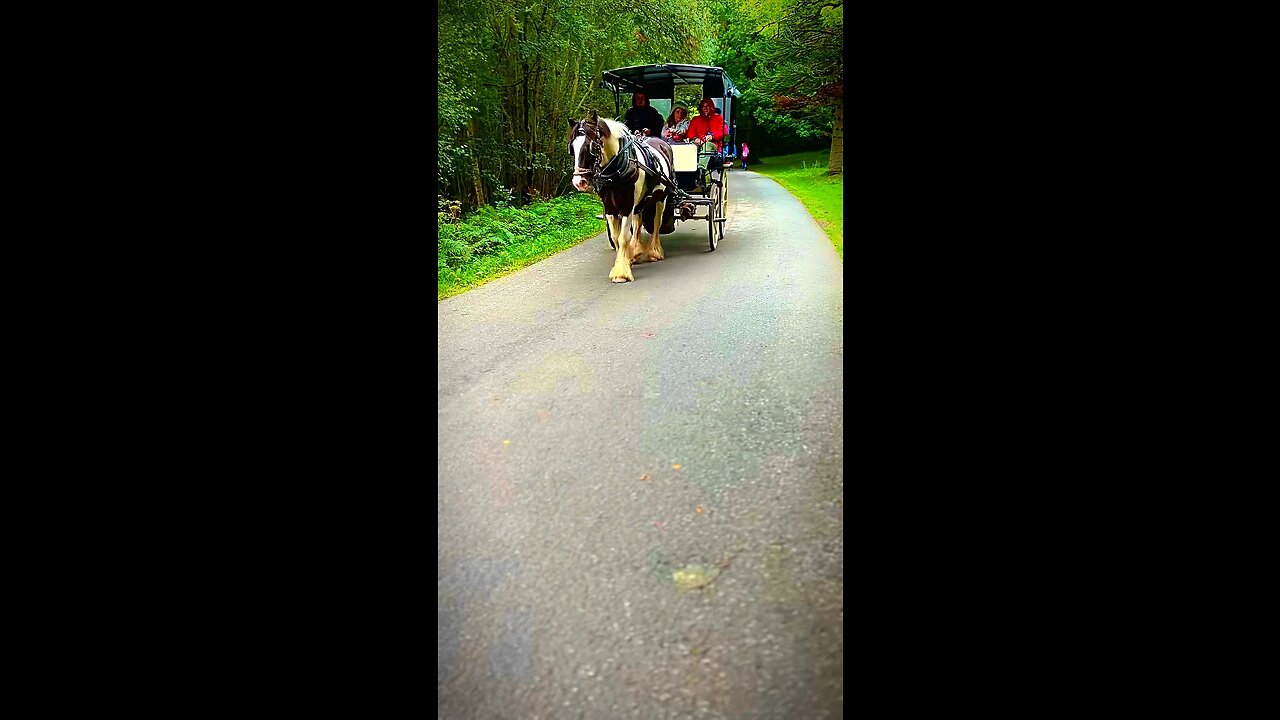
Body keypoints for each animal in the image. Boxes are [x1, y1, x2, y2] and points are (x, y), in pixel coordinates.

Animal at [565, 110, 675, 281]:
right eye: (572, 148)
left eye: (591, 147)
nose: (579, 182)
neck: (615, 170)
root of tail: (661, 141)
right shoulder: (610, 208)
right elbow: (617, 238)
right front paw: (625, 261)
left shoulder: (626, 207)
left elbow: (623, 237)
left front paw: (621, 273)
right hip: (640, 202)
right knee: (638, 223)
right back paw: (636, 251)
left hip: (660, 199)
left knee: (657, 223)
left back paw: (654, 252)